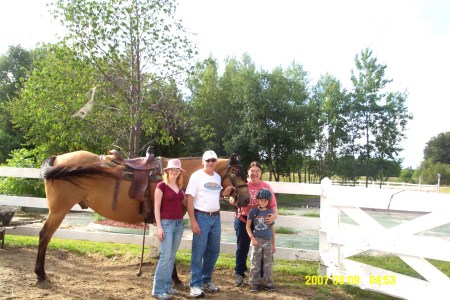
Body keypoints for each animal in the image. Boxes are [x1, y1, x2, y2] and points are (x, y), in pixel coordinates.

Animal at [35, 149, 250, 284]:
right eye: (236, 173)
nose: (247, 199)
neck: (181, 177)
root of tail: (58, 159)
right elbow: (170, 250)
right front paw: (174, 279)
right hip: (58, 211)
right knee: (44, 235)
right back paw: (40, 274)